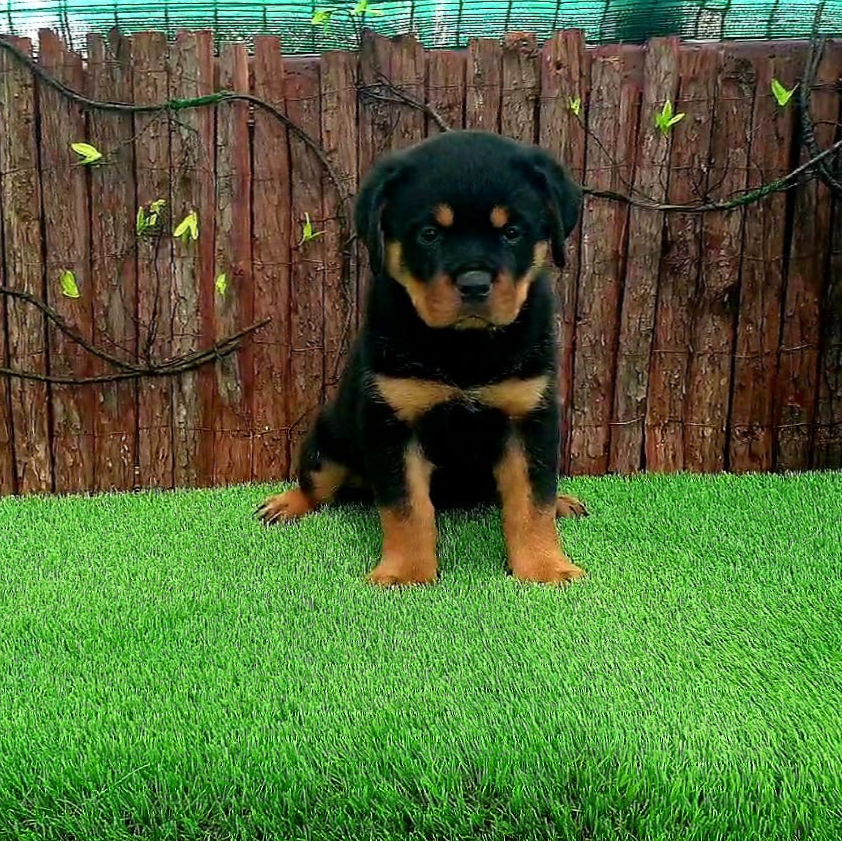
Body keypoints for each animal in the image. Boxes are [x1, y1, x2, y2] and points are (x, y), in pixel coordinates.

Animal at [256, 129, 588, 586]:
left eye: (512, 232)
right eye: (429, 233)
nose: (474, 283)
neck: (465, 348)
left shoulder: (529, 418)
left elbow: (533, 502)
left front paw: (544, 566)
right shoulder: (393, 423)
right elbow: (407, 509)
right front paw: (406, 574)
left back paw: (563, 502)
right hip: (327, 446)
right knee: (315, 486)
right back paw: (285, 504)